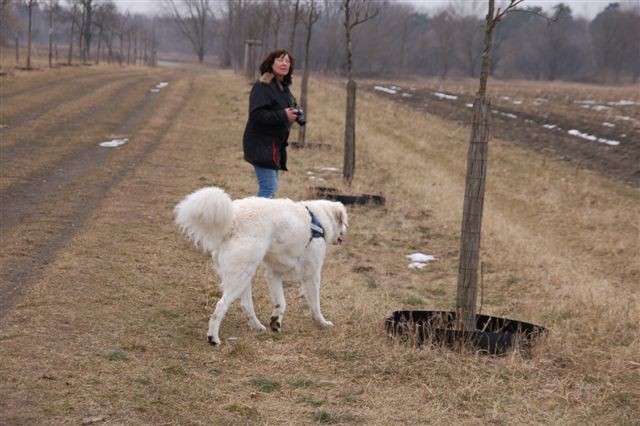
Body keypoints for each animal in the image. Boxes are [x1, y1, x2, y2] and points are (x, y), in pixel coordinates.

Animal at [174, 187, 348, 345]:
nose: (346, 231)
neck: (319, 220)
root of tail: (233, 220)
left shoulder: (274, 273)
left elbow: (281, 302)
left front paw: (276, 322)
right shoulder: (312, 275)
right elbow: (315, 305)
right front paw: (322, 322)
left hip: (245, 274)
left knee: (246, 305)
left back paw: (258, 327)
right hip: (241, 275)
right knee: (221, 306)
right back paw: (213, 338)